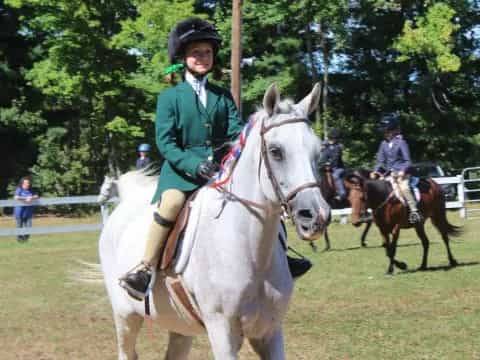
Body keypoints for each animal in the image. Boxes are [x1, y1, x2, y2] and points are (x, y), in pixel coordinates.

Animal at [97, 83, 330, 358]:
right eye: (276, 151)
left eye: (318, 151)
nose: (316, 216)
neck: (251, 251)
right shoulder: (222, 331)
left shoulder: (270, 332)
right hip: (125, 317)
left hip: (181, 326)